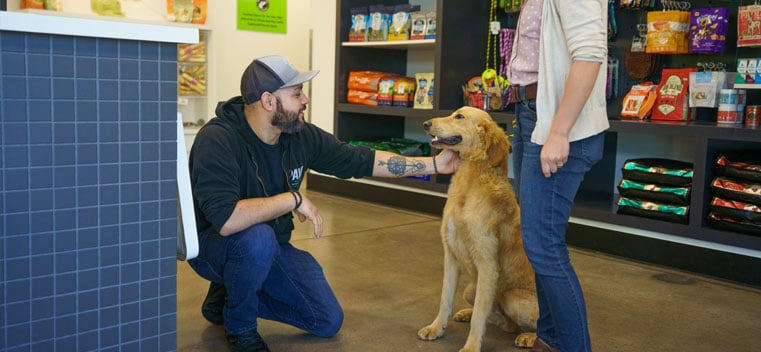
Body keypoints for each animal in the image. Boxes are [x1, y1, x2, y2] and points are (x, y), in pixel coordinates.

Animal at [416, 106, 540, 350]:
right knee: (500, 319)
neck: (468, 185)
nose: (425, 124)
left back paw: (529, 337)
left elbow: (480, 316)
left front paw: (471, 346)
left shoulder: (487, 265)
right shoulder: (450, 256)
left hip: (513, 298)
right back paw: (466, 312)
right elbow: (445, 299)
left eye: (459, 116)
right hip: (470, 290)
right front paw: (436, 328)